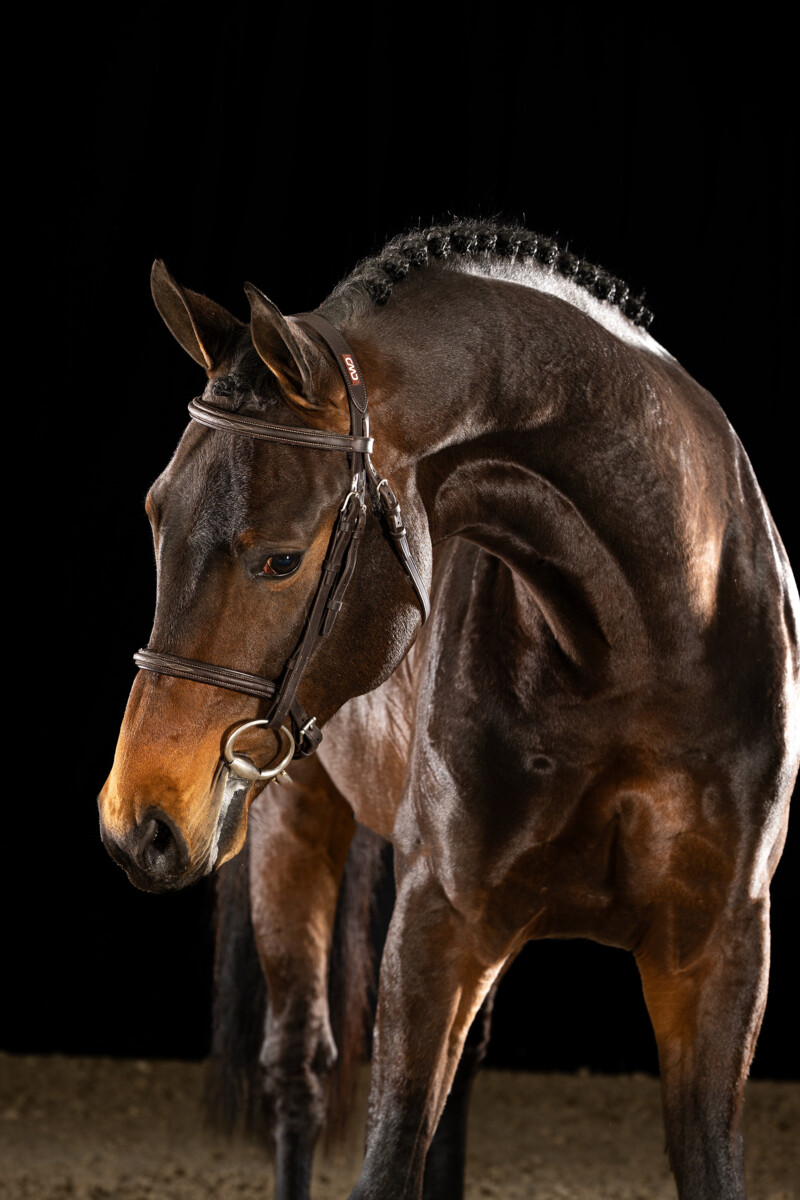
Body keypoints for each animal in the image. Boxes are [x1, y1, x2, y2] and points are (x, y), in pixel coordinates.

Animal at [98, 220, 799, 1200]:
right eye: (156, 516)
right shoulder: (438, 929)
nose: (137, 820)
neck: (643, 639)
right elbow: (388, 1157)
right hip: (288, 828)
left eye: (280, 559)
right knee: (299, 1074)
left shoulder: (718, 954)